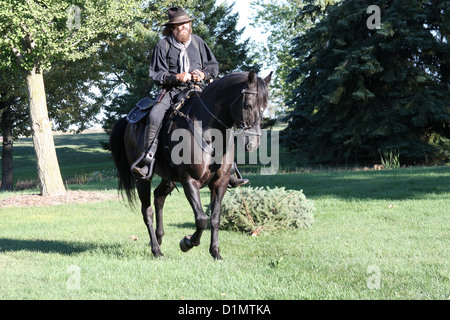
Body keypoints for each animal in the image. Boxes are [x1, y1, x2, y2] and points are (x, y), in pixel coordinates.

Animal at [110, 70, 270, 260]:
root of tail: (129, 122)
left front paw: (215, 252)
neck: (209, 131)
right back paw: (156, 250)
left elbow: (215, 218)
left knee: (159, 198)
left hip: (169, 179)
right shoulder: (189, 181)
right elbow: (201, 219)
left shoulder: (220, 183)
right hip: (142, 179)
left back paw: (158, 238)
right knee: (147, 211)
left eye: (265, 105)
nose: (253, 144)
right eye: (248, 105)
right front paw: (187, 242)